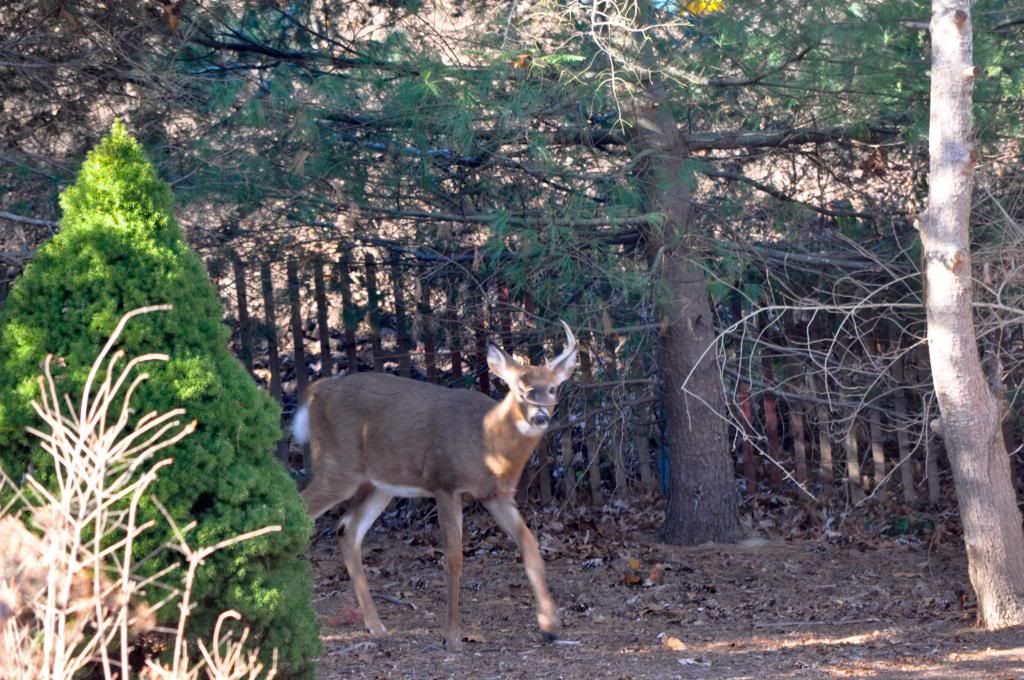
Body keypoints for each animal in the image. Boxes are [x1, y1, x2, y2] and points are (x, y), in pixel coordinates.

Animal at [293, 321, 578, 650]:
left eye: (553, 388)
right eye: (521, 389)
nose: (540, 416)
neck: (487, 438)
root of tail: (317, 390)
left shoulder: (497, 495)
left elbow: (530, 546)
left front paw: (550, 625)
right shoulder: (446, 484)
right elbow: (453, 557)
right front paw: (452, 636)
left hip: (379, 483)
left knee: (346, 529)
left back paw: (375, 625)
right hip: (338, 466)